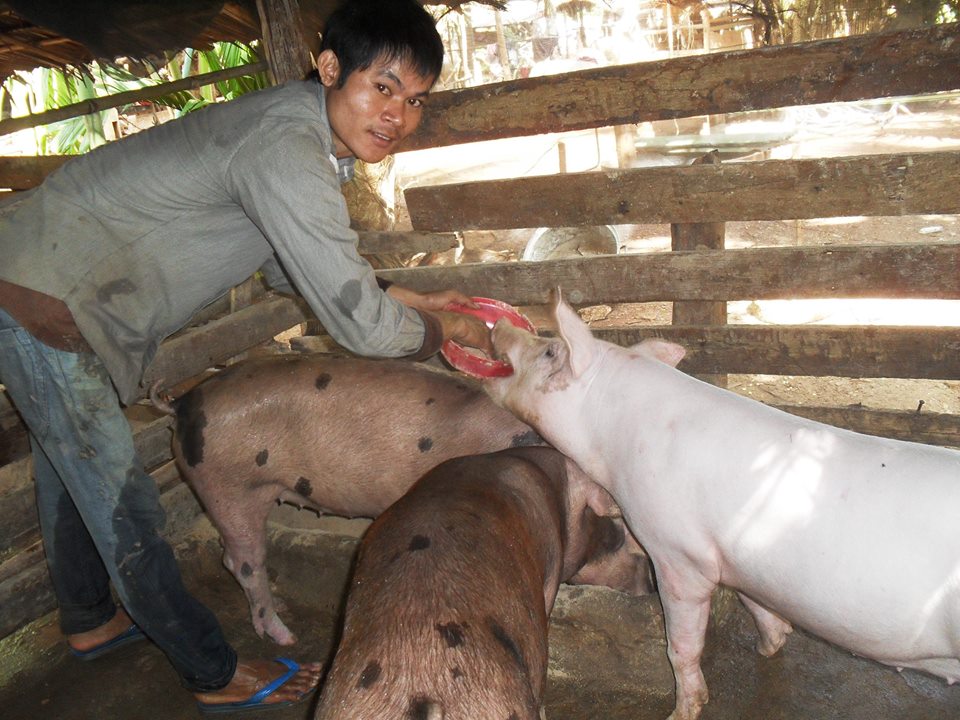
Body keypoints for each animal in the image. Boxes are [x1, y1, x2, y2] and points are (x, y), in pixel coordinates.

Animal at [154, 356, 652, 648]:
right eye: (621, 534)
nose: (651, 583)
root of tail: (183, 403)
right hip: (231, 485)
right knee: (243, 561)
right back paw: (284, 636)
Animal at [484, 288, 960, 720]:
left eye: (550, 350)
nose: (502, 323)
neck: (612, 437)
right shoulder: (737, 552)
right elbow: (756, 601)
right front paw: (769, 647)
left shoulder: (679, 554)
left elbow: (681, 645)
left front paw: (681, 712)